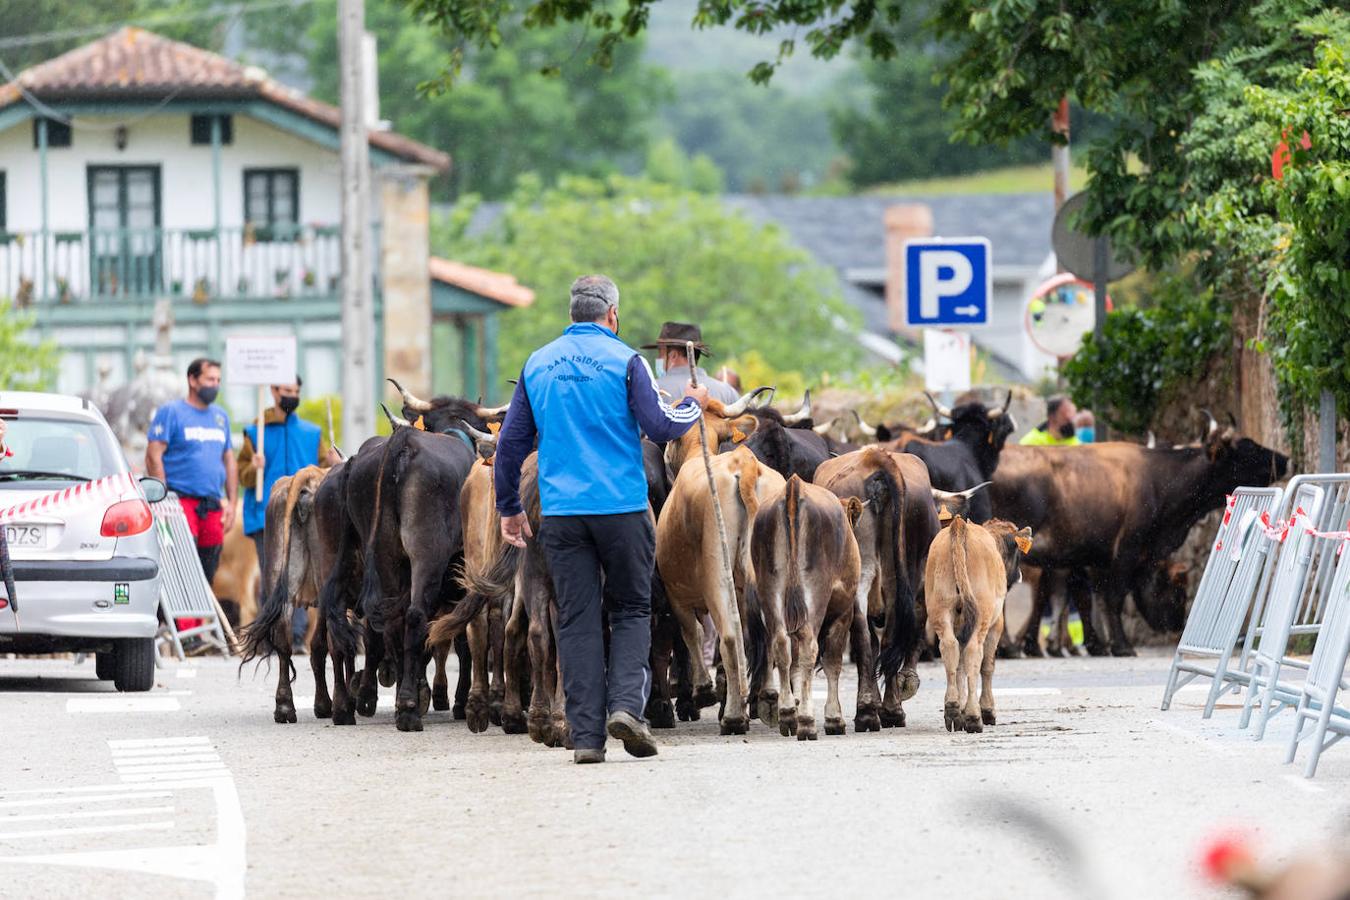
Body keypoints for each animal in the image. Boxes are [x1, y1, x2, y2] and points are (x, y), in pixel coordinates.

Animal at [653, 442, 783, 734]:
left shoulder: (675, 595)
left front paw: (702, 691)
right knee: (770, 636)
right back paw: (769, 701)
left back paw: (733, 717)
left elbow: (692, 634)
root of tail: (744, 462)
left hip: (717, 571)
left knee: (730, 638)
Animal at [750, 474, 864, 744]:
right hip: (815, 598)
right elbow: (832, 662)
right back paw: (807, 722)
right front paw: (834, 718)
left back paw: (788, 714)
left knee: (781, 646)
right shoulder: (843, 612)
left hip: (771, 593)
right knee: (809, 650)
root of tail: (794, 488)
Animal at [810, 447, 939, 728]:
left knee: (865, 634)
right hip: (903, 574)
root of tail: (877, 459)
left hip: (866, 572)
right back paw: (886, 709)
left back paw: (871, 710)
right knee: (890, 633)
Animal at [928, 518, 1031, 734]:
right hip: (982, 616)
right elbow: (987, 666)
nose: (1019, 574)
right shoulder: (997, 624)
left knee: (950, 648)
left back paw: (952, 709)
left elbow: (959, 667)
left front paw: (960, 711)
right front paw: (987, 710)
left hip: (940, 609)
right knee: (974, 652)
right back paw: (975, 717)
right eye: (1017, 552)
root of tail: (959, 526)